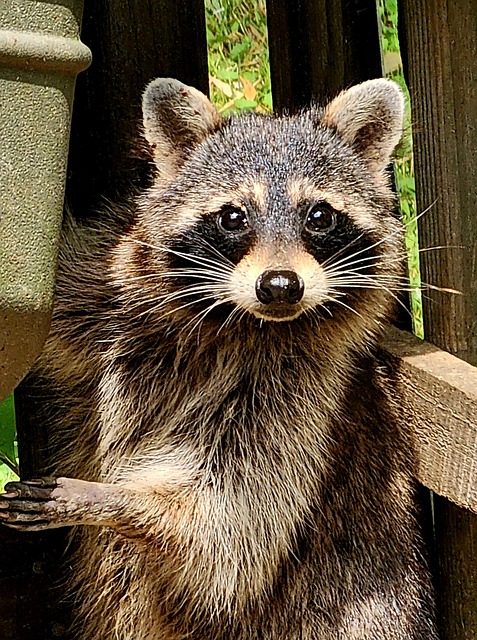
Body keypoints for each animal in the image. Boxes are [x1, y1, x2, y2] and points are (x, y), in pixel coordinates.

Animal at [0, 78, 438, 640]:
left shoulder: (307, 400)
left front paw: (115, 501)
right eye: (233, 217)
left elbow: (231, 529)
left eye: (319, 216)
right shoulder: (105, 294)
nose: (280, 286)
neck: (238, 322)